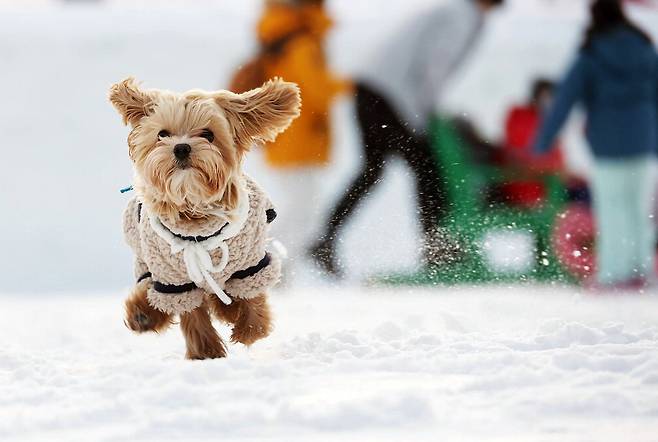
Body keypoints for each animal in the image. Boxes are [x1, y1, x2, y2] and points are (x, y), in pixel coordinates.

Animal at [109, 76, 300, 360]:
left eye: (208, 134)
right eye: (162, 134)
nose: (181, 147)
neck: (196, 222)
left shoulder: (250, 264)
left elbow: (252, 298)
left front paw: (250, 327)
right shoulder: (174, 279)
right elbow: (192, 314)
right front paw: (205, 352)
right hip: (147, 264)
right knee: (149, 288)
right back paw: (143, 314)